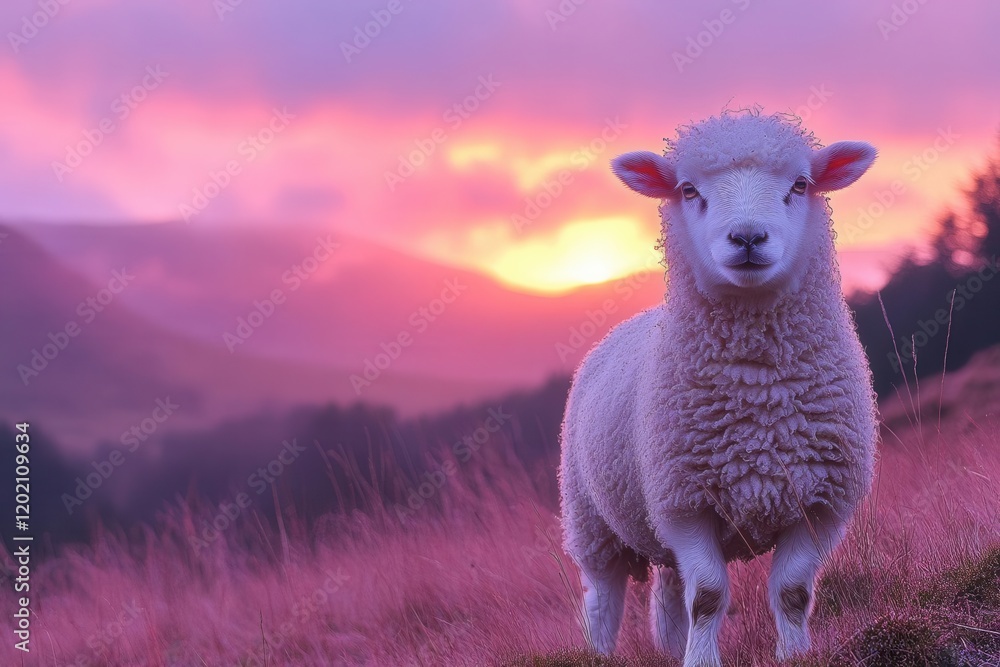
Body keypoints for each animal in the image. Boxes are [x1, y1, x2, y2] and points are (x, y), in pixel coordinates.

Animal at [559, 109, 879, 666]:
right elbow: (707, 596)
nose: (748, 237)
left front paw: (793, 653)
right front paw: (702, 660)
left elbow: (792, 592)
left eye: (800, 184)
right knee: (602, 597)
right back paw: (600, 652)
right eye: (689, 190)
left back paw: (669, 648)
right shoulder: (684, 503)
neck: (759, 392)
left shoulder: (822, 502)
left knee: (667, 591)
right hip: (589, 516)